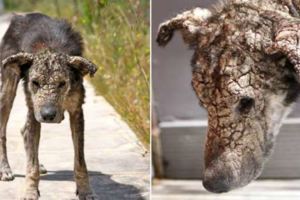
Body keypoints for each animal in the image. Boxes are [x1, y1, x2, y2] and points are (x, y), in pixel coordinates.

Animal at [0, 13, 97, 199]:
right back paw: (4, 169)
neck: (51, 49)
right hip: (7, 87)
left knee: (25, 132)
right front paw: (30, 191)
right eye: (35, 82)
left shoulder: (76, 111)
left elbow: (80, 161)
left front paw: (85, 190)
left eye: (62, 83)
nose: (48, 115)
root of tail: (20, 16)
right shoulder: (34, 110)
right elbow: (32, 166)